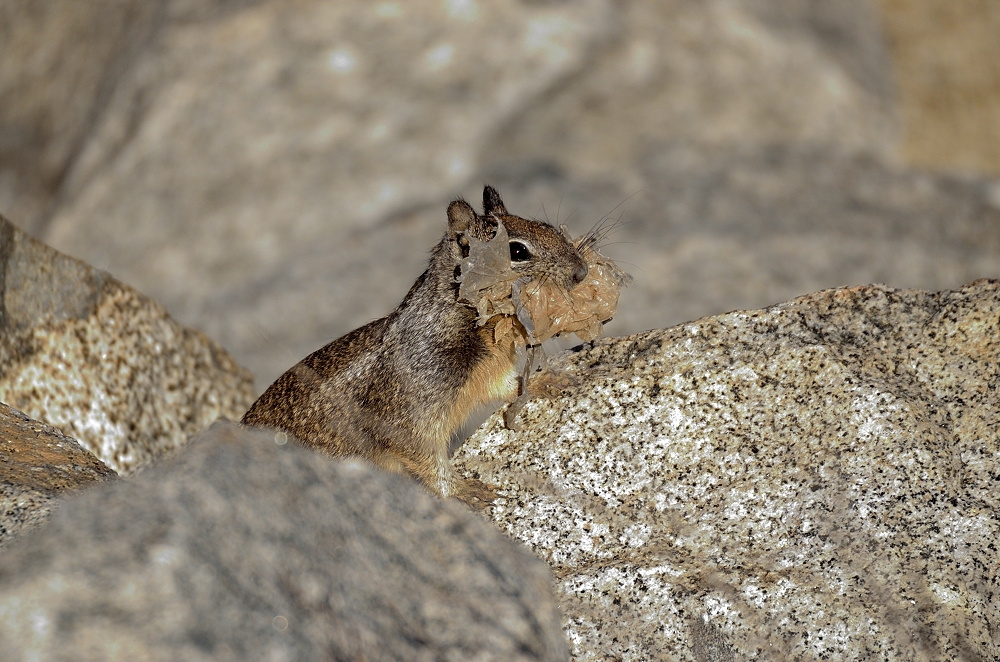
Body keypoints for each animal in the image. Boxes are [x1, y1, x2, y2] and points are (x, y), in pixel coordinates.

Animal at [241, 186, 591, 508]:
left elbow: (511, 385)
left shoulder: (487, 372)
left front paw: (548, 380)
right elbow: (428, 460)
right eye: (517, 251)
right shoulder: (411, 414)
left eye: (549, 227)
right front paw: (464, 491)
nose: (582, 271)